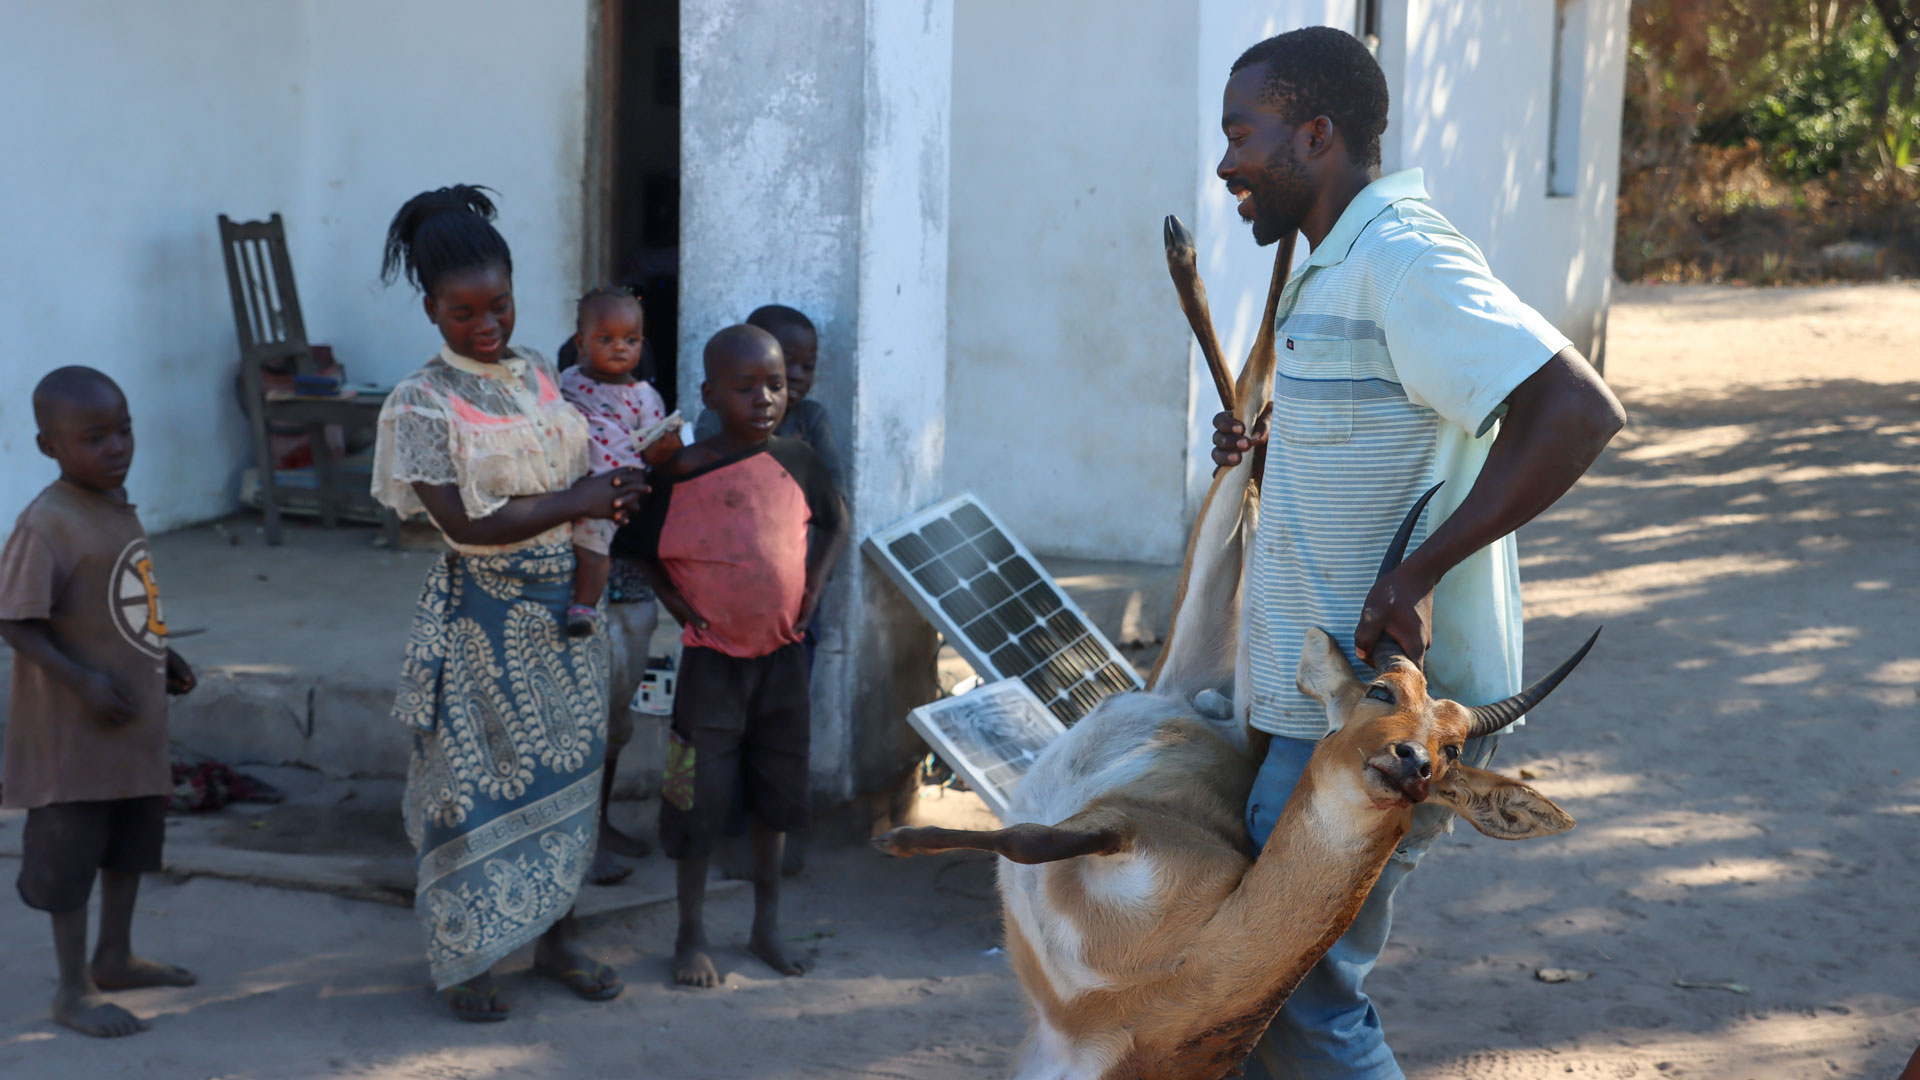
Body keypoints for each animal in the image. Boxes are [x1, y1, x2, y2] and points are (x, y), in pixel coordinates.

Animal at [879, 220, 1597, 1076]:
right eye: (1383, 692)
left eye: (1456, 749)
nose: (1411, 762)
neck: (1161, 986)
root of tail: (1211, 707)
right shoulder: (1116, 834)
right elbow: (1026, 836)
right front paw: (902, 837)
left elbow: (1026, 840)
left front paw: (898, 836)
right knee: (1251, 399)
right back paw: (1215, 259)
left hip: (1224, 644)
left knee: (1250, 412)